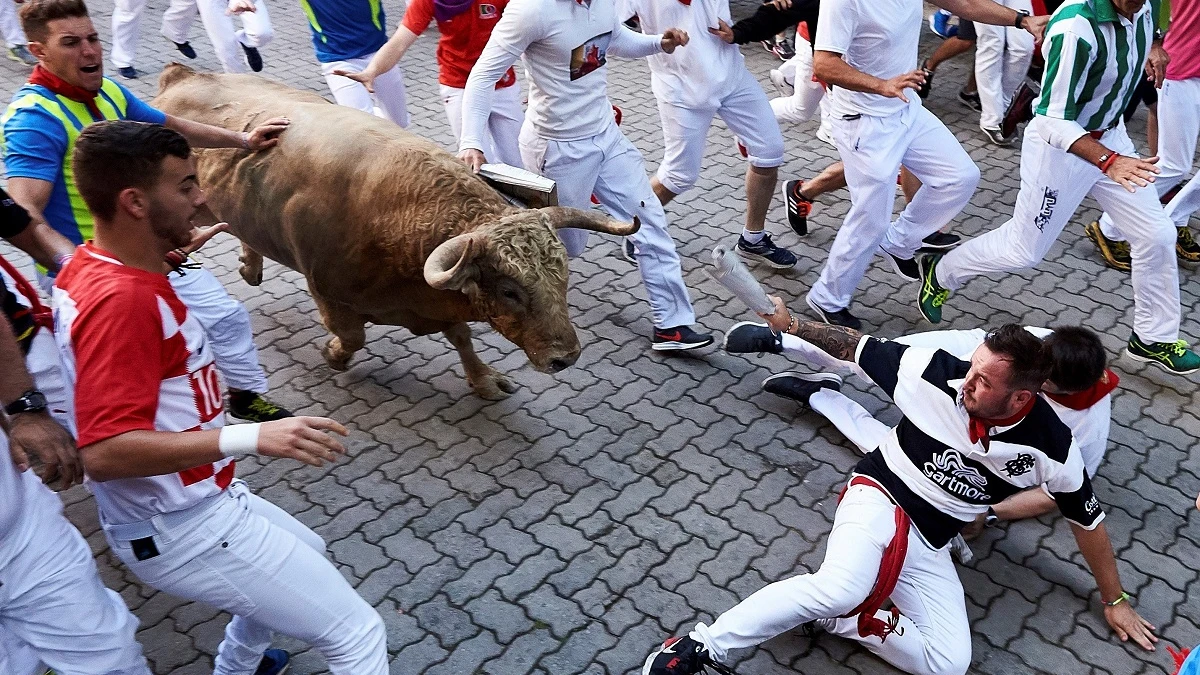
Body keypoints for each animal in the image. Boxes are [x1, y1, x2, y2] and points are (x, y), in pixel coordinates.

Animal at [152, 64, 638, 393]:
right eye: (509, 291)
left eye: (563, 278)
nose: (565, 357)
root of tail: (181, 77)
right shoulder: (327, 290)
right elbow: (352, 335)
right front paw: (333, 354)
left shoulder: (441, 302)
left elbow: (462, 336)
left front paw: (483, 379)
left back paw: (250, 265)